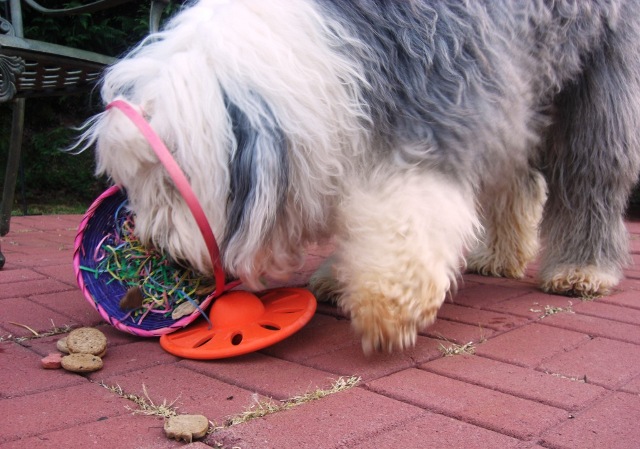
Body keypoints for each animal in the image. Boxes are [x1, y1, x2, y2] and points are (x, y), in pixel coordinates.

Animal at [76, 0, 640, 354]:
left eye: (171, 181)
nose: (154, 245)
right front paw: (339, 276)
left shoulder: (441, 102)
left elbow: (409, 211)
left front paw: (387, 304)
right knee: (518, 182)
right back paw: (499, 257)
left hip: (596, 81)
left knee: (592, 176)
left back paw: (583, 270)